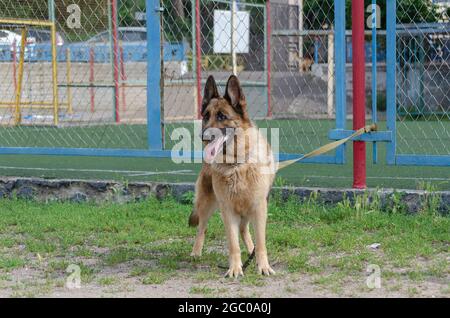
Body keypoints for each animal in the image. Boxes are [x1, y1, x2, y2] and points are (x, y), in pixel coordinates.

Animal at [188, 74, 276, 276]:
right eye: (206, 116)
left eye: (222, 116)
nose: (203, 136)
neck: (236, 165)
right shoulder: (227, 211)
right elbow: (233, 244)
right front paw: (235, 269)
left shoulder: (259, 208)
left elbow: (261, 242)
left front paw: (263, 266)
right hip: (207, 204)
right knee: (202, 228)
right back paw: (196, 252)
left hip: (247, 210)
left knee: (244, 230)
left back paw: (251, 252)